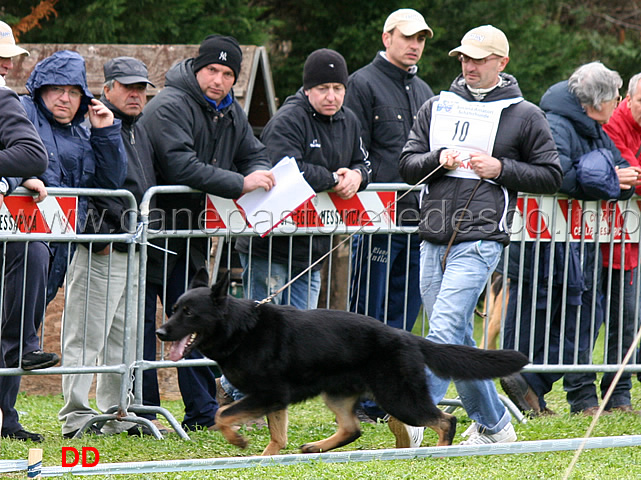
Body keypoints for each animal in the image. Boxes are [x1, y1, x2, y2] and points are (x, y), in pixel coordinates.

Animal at [156, 268, 524, 456]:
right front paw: (264, 459)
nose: (160, 332)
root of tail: (405, 336)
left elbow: (222, 414)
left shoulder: (268, 395)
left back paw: (436, 451)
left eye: (189, 313)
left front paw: (238, 440)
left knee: (445, 420)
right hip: (337, 394)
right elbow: (277, 438)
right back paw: (318, 447)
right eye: (173, 309)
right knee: (351, 429)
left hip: (397, 397)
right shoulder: (274, 400)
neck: (240, 327)